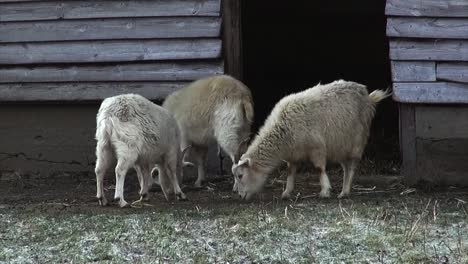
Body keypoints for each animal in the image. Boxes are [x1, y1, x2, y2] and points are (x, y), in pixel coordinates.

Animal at [231, 80, 392, 200]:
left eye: (240, 175)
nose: (239, 196)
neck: (282, 131)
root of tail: (367, 95)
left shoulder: (317, 148)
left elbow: (319, 169)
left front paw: (325, 191)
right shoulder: (293, 155)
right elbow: (290, 172)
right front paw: (286, 192)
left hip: (355, 142)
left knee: (350, 168)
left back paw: (344, 192)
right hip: (341, 145)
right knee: (346, 167)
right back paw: (343, 192)